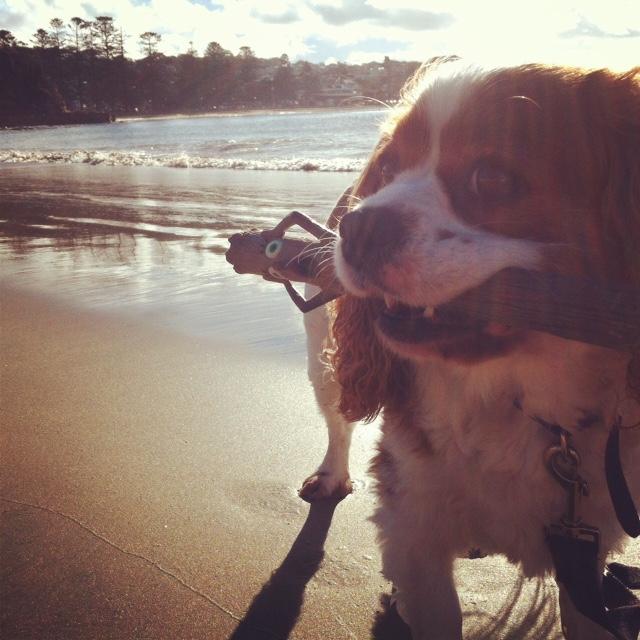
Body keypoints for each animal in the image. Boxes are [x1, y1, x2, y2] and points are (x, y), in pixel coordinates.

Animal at [303, 60, 640, 638]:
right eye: (387, 168)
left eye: (493, 178)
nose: (357, 225)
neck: (515, 396)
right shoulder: (413, 530)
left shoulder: (588, 556)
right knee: (337, 421)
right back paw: (330, 475)